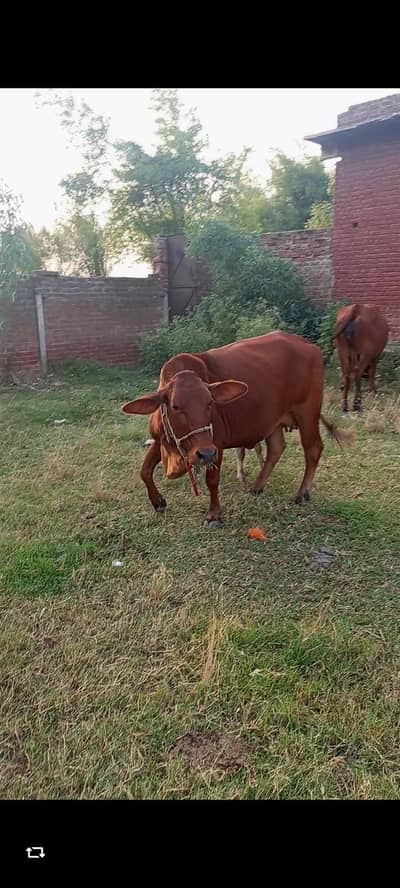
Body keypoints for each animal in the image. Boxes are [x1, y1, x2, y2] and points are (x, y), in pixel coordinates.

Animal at [122, 331, 354, 527]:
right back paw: (257, 486)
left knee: (313, 449)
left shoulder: (216, 445)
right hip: (273, 420)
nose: (204, 453)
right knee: (276, 448)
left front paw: (214, 514)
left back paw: (302, 493)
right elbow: (145, 471)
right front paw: (158, 501)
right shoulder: (160, 439)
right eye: (176, 406)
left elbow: (212, 481)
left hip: (308, 413)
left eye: (210, 403)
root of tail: (308, 344)